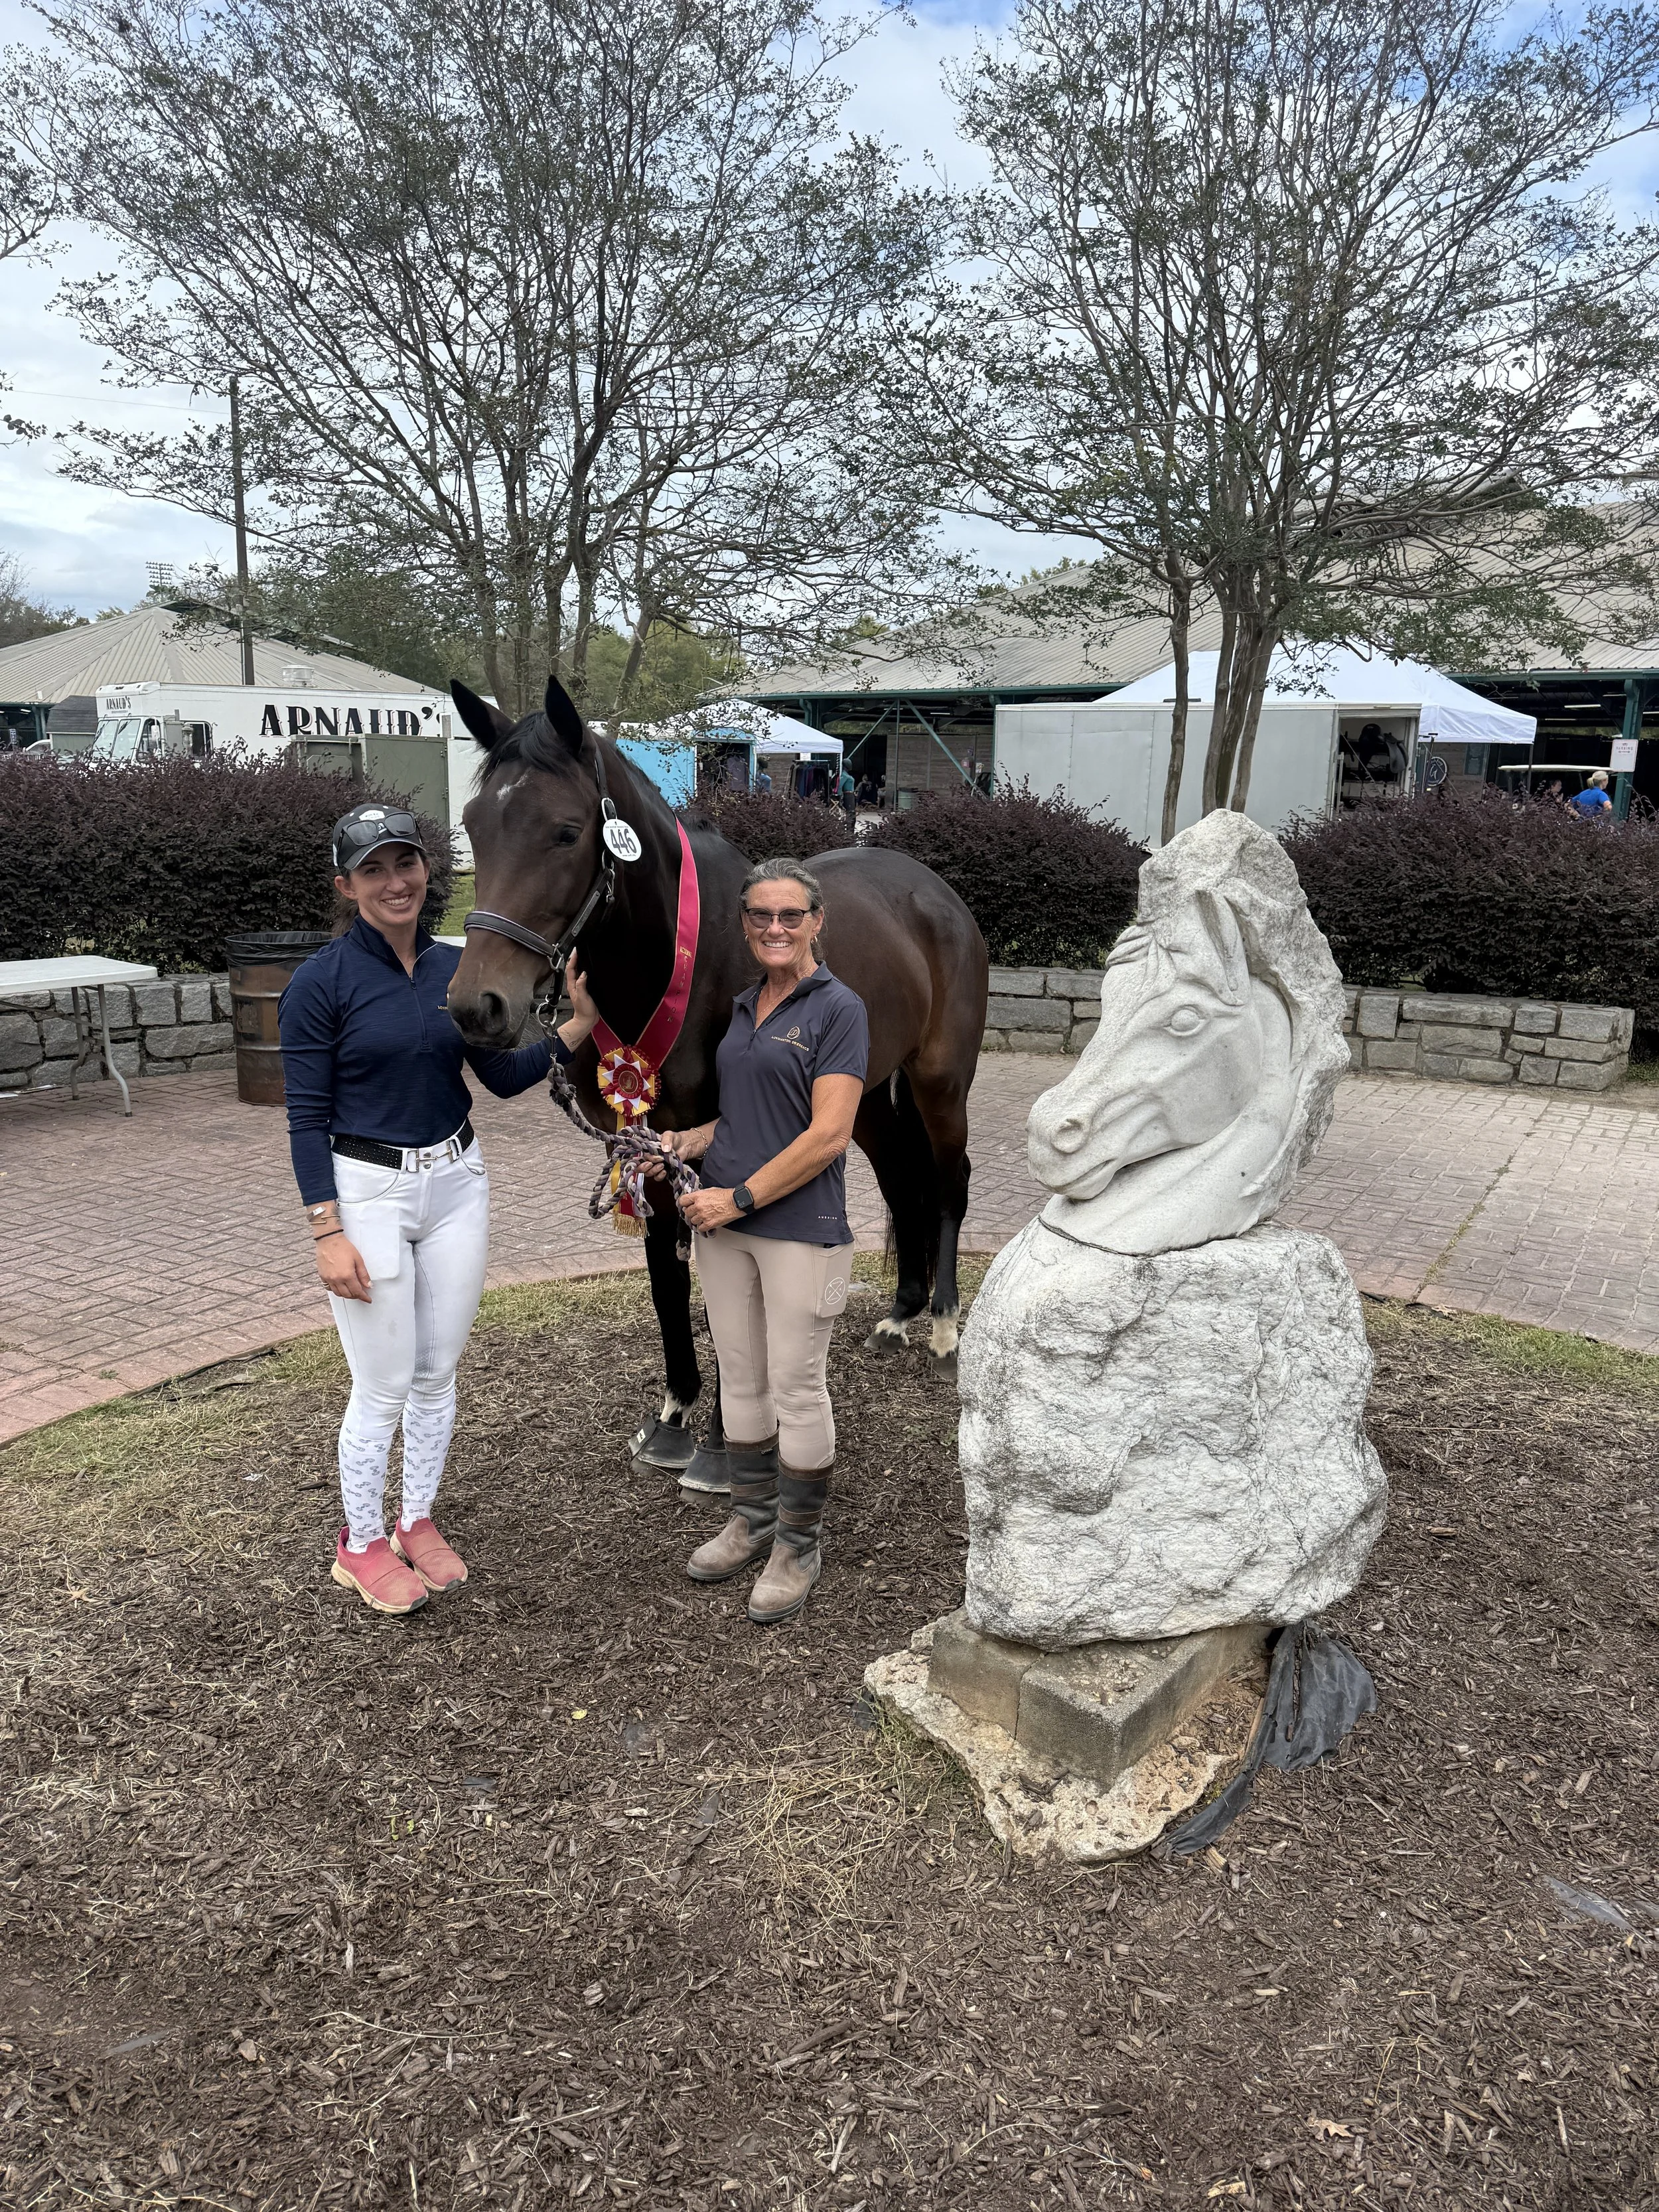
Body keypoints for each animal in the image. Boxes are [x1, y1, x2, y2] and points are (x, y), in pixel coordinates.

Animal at [443, 673, 990, 1476]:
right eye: (474, 825)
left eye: (566, 832)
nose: (477, 1006)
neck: (676, 960)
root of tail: (935, 893)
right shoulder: (648, 1145)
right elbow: (666, 1277)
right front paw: (676, 1409)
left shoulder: (720, 1143)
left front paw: (724, 1434)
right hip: (863, 1103)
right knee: (901, 1177)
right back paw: (901, 1312)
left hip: (940, 1080)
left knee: (948, 1181)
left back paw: (945, 1325)